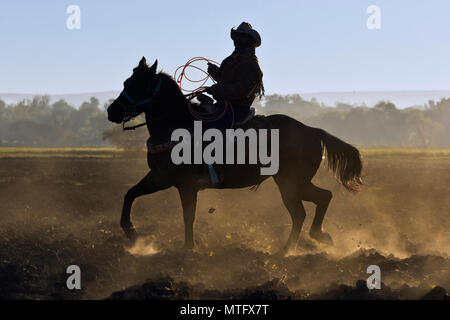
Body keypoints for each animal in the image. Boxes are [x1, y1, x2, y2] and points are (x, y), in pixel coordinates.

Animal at [106, 56, 362, 254]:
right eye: (126, 81)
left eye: (139, 84)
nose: (112, 111)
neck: (177, 126)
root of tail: (312, 131)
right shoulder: (160, 177)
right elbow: (130, 194)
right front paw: (132, 233)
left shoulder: (185, 184)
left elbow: (188, 216)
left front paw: (189, 248)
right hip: (293, 183)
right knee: (318, 201)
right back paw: (311, 240)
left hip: (291, 183)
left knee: (305, 209)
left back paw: (292, 248)